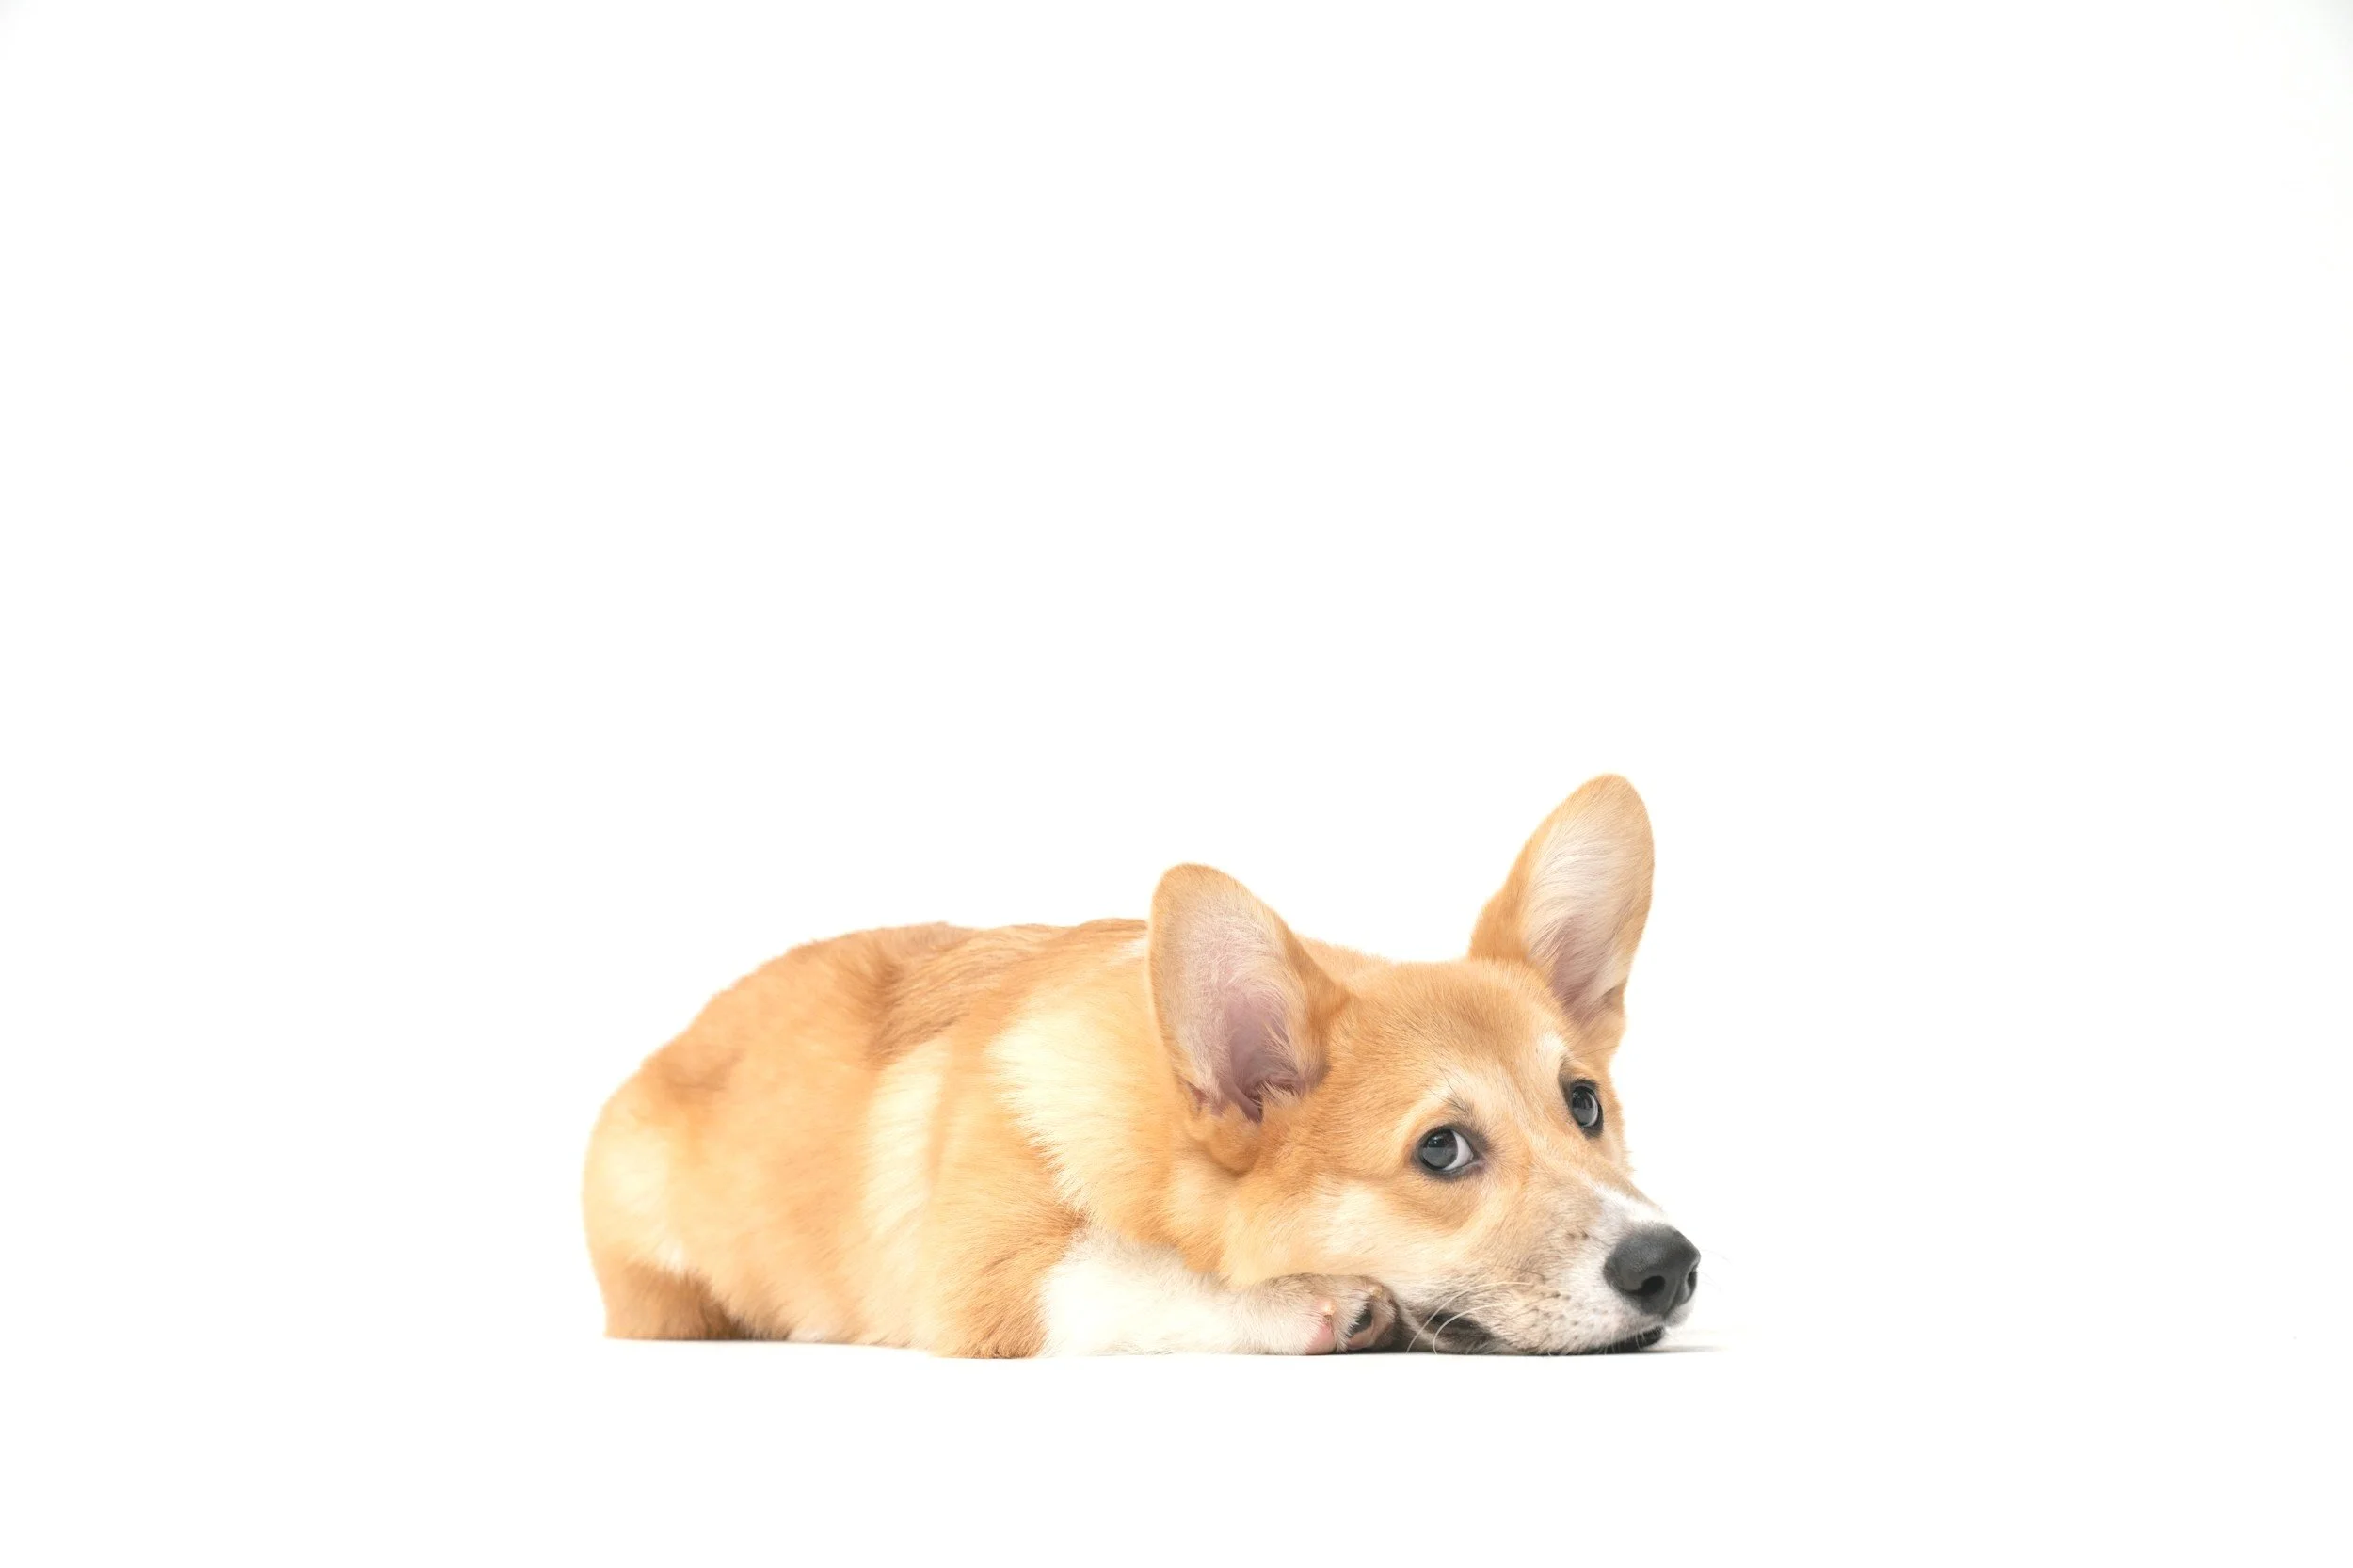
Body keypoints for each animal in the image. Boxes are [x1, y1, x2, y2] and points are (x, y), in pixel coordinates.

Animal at [582, 774, 1697, 1355]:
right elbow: (1136, 1267)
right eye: (1442, 1150)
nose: (1671, 1267)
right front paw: (1310, 1300)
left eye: (1584, 1105)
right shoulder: (988, 1284)